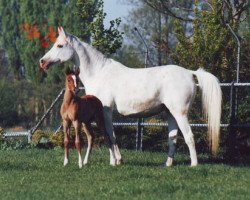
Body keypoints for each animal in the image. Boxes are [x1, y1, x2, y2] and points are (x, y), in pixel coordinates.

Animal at [40, 27, 222, 167]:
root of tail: (190, 73)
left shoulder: (105, 112)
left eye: (59, 45)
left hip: (180, 113)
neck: (99, 72)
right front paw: (115, 160)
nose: (42, 62)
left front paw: (115, 161)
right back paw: (168, 164)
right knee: (173, 138)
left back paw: (194, 164)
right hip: (169, 113)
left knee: (189, 136)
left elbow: (110, 136)